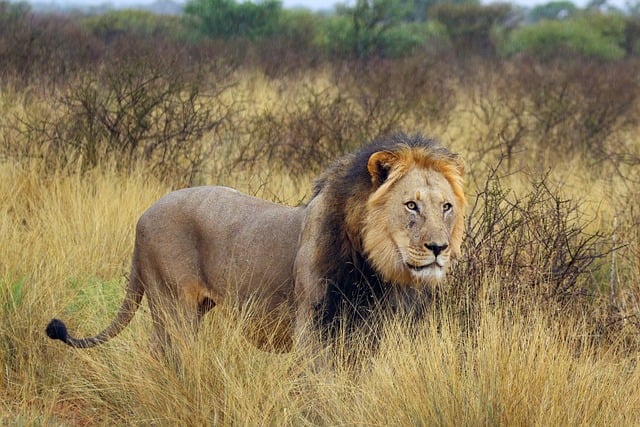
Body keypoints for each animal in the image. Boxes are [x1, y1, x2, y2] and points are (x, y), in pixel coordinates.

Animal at [45, 132, 464, 356]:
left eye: (446, 207)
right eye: (411, 205)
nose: (439, 248)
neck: (377, 271)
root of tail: (143, 216)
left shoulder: (375, 333)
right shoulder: (313, 328)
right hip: (173, 306)